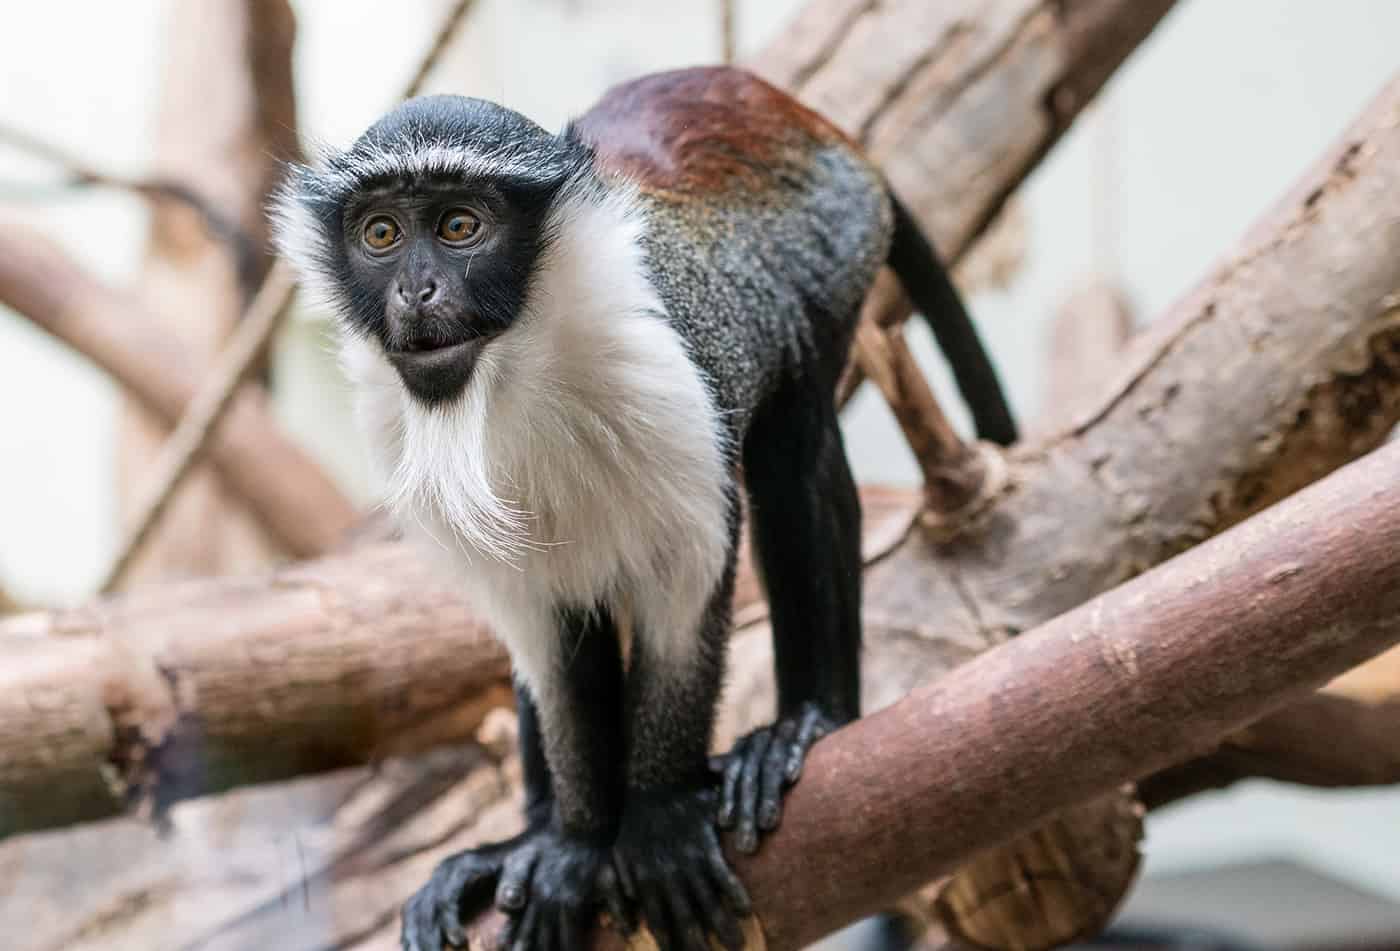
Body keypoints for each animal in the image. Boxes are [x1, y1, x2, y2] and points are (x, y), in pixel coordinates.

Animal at [273, 68, 1019, 951]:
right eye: (381, 233)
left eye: (460, 226)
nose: (415, 292)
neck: (512, 369)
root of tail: (792, 110)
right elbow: (550, 639)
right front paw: (568, 844)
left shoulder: (665, 377)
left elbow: (684, 594)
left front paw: (658, 818)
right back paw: (524, 838)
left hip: (838, 258)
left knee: (796, 452)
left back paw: (808, 721)